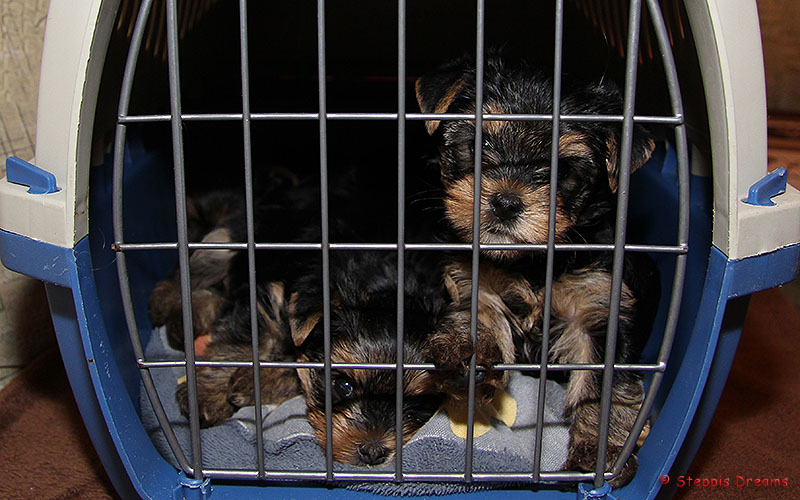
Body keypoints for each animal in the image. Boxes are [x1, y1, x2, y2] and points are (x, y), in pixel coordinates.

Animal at [416, 54, 661, 486]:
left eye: (562, 170)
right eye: (476, 145)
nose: (505, 202)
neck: (529, 261)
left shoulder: (599, 306)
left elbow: (604, 384)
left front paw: (599, 451)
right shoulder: (473, 282)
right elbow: (475, 317)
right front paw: (463, 354)